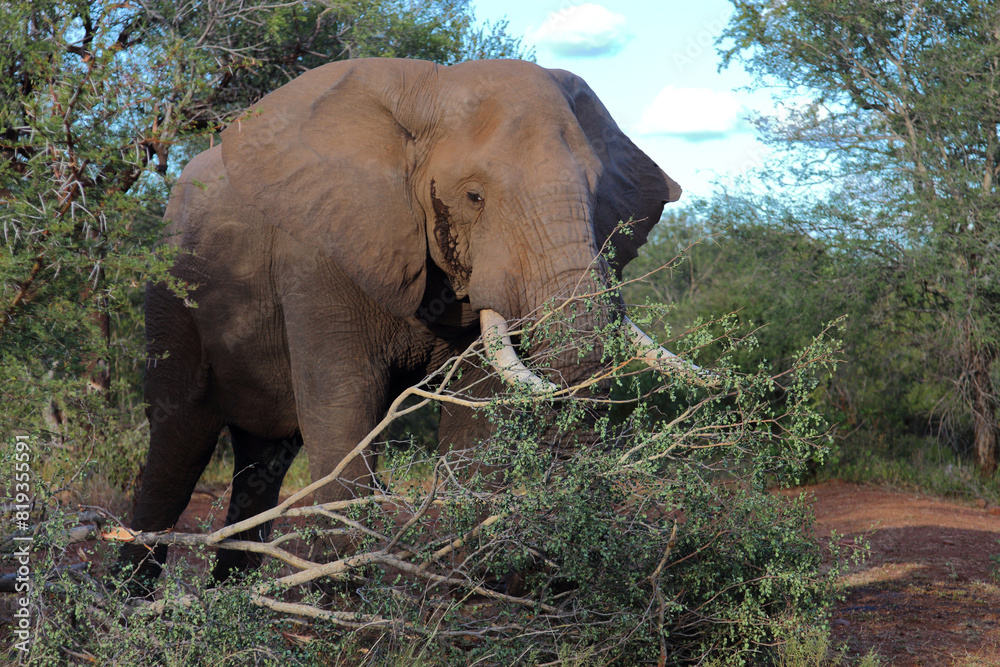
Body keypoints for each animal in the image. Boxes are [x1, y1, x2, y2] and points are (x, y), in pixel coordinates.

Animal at [118, 57, 686, 586]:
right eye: (474, 196)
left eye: (597, 194)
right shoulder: (319, 252)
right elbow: (346, 403)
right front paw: (340, 601)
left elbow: (476, 410)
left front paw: (470, 588)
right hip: (171, 291)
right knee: (177, 442)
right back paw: (134, 598)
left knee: (264, 459)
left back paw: (233, 597)